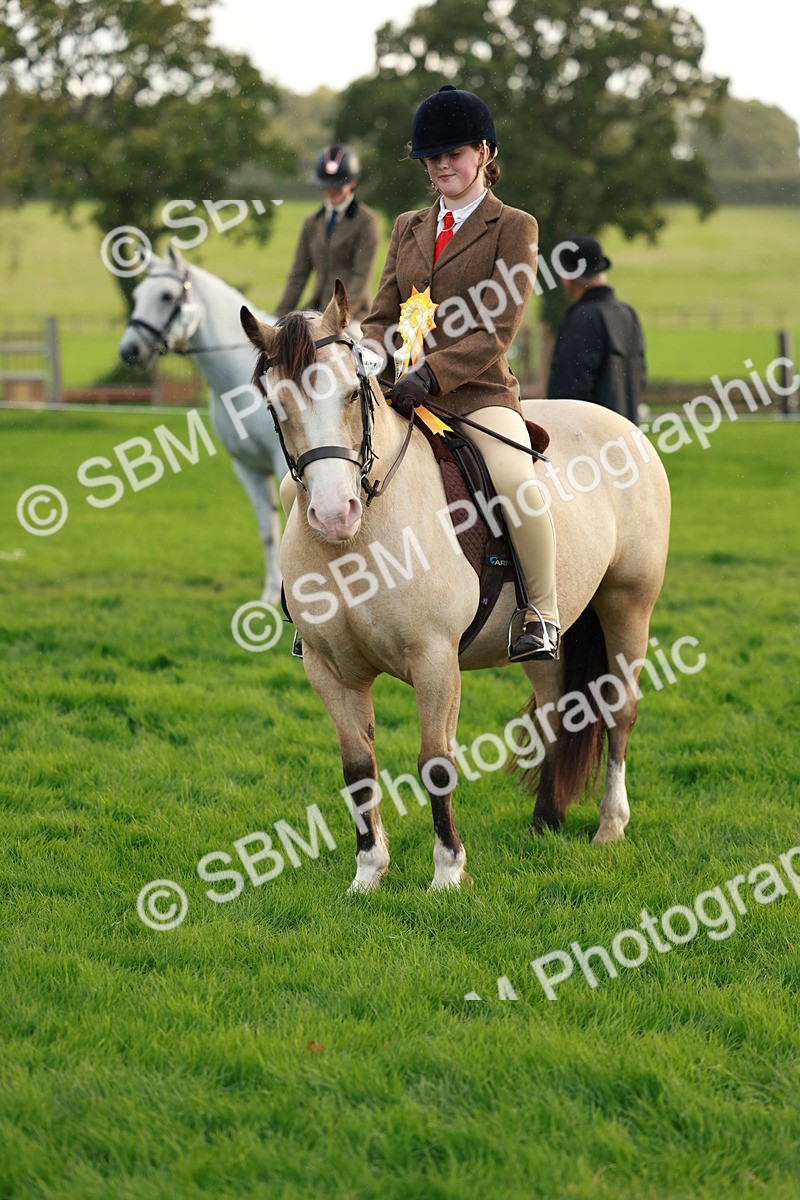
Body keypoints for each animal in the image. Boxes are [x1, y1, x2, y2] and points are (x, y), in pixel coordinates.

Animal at [119, 244, 283, 605]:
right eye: (137, 294)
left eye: (167, 296)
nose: (129, 351)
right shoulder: (248, 469)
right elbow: (268, 532)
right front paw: (270, 596)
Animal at [241, 281, 671, 893]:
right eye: (277, 407)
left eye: (351, 395)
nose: (333, 513)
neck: (360, 540)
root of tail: (623, 424)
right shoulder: (329, 670)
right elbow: (358, 769)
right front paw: (367, 874)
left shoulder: (434, 659)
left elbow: (435, 762)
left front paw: (447, 872)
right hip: (549, 632)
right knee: (557, 708)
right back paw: (545, 823)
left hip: (628, 606)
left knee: (620, 709)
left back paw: (610, 826)